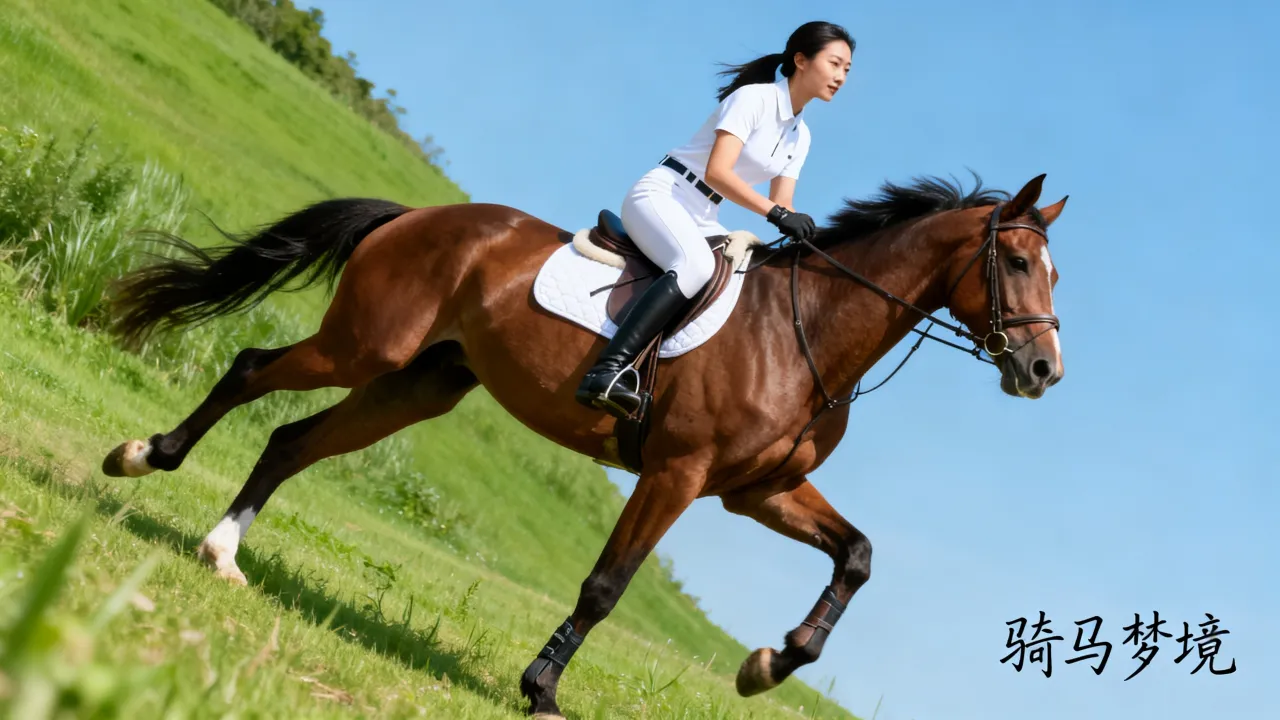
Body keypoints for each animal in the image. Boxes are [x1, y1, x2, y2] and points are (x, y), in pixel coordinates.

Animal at [99, 171, 1067, 718]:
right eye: (1018, 265)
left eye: (1053, 271)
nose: (1043, 369)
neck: (810, 331)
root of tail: (418, 217)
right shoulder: (677, 474)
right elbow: (606, 586)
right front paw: (541, 691)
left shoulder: (757, 492)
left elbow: (857, 556)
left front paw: (768, 665)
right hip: (363, 347)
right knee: (251, 369)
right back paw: (143, 456)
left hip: (417, 384)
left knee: (294, 439)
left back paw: (223, 550)